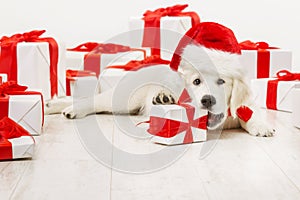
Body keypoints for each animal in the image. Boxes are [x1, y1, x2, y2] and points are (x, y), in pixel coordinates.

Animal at [47, 22, 274, 138]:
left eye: (222, 82)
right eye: (196, 82)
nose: (207, 100)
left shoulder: (247, 103)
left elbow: (250, 113)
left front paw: (261, 126)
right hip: (124, 99)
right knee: (93, 100)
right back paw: (71, 109)